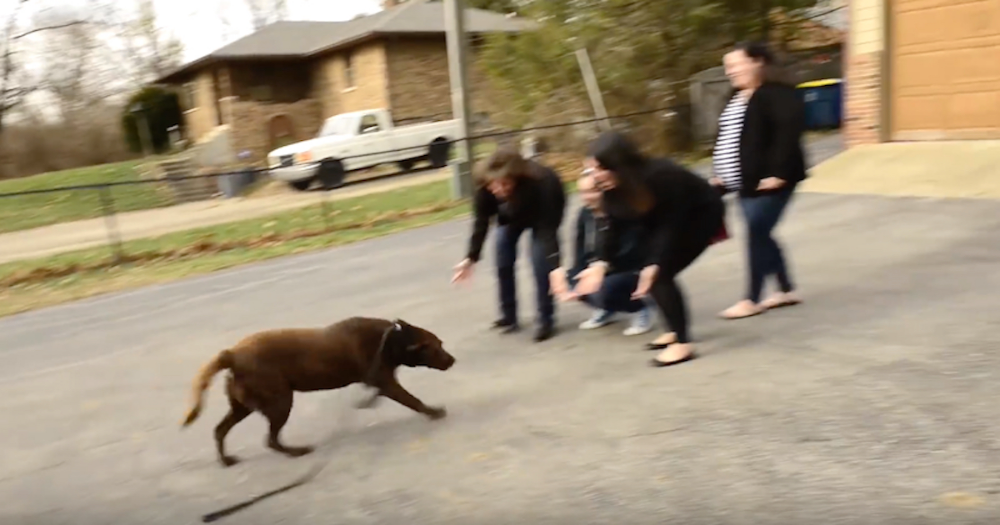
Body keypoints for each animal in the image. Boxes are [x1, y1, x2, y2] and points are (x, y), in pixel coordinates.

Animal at [181, 316, 458, 466]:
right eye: (437, 346)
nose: (452, 360)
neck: (393, 339)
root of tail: (232, 354)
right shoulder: (387, 382)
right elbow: (413, 400)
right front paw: (434, 412)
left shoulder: (381, 381)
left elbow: (378, 394)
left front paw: (366, 403)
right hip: (280, 400)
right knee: (270, 439)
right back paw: (296, 452)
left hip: (243, 405)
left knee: (220, 430)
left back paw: (226, 460)